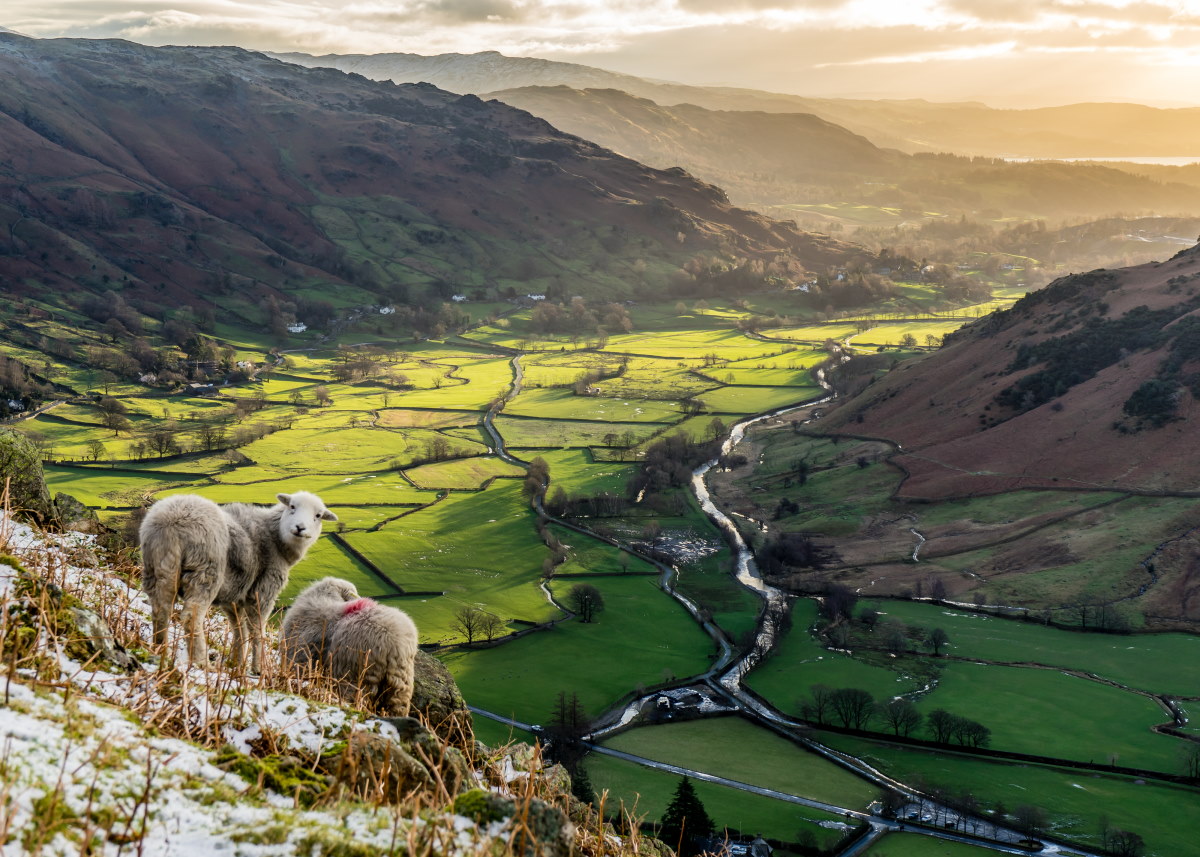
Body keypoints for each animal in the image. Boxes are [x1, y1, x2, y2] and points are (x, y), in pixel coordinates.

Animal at [140, 487, 338, 667]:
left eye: (318, 515)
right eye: (292, 506)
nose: (300, 528)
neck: (276, 539)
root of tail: (171, 524)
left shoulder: (234, 596)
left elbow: (239, 629)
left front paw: (236, 663)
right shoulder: (263, 592)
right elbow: (257, 630)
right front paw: (258, 668)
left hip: (157, 569)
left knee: (160, 610)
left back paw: (160, 651)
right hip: (205, 571)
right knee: (191, 617)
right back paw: (201, 662)